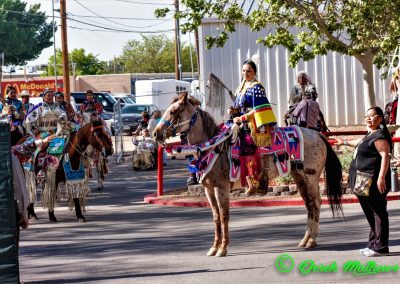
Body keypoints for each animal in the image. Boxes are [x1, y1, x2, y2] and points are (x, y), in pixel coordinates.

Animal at [154, 92, 344, 258]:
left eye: (173, 111)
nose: (156, 133)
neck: (212, 146)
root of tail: (318, 134)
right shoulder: (209, 190)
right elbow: (215, 217)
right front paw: (214, 247)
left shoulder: (221, 187)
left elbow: (224, 216)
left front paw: (222, 249)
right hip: (299, 177)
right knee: (309, 205)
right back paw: (305, 240)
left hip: (311, 178)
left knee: (316, 203)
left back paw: (312, 240)